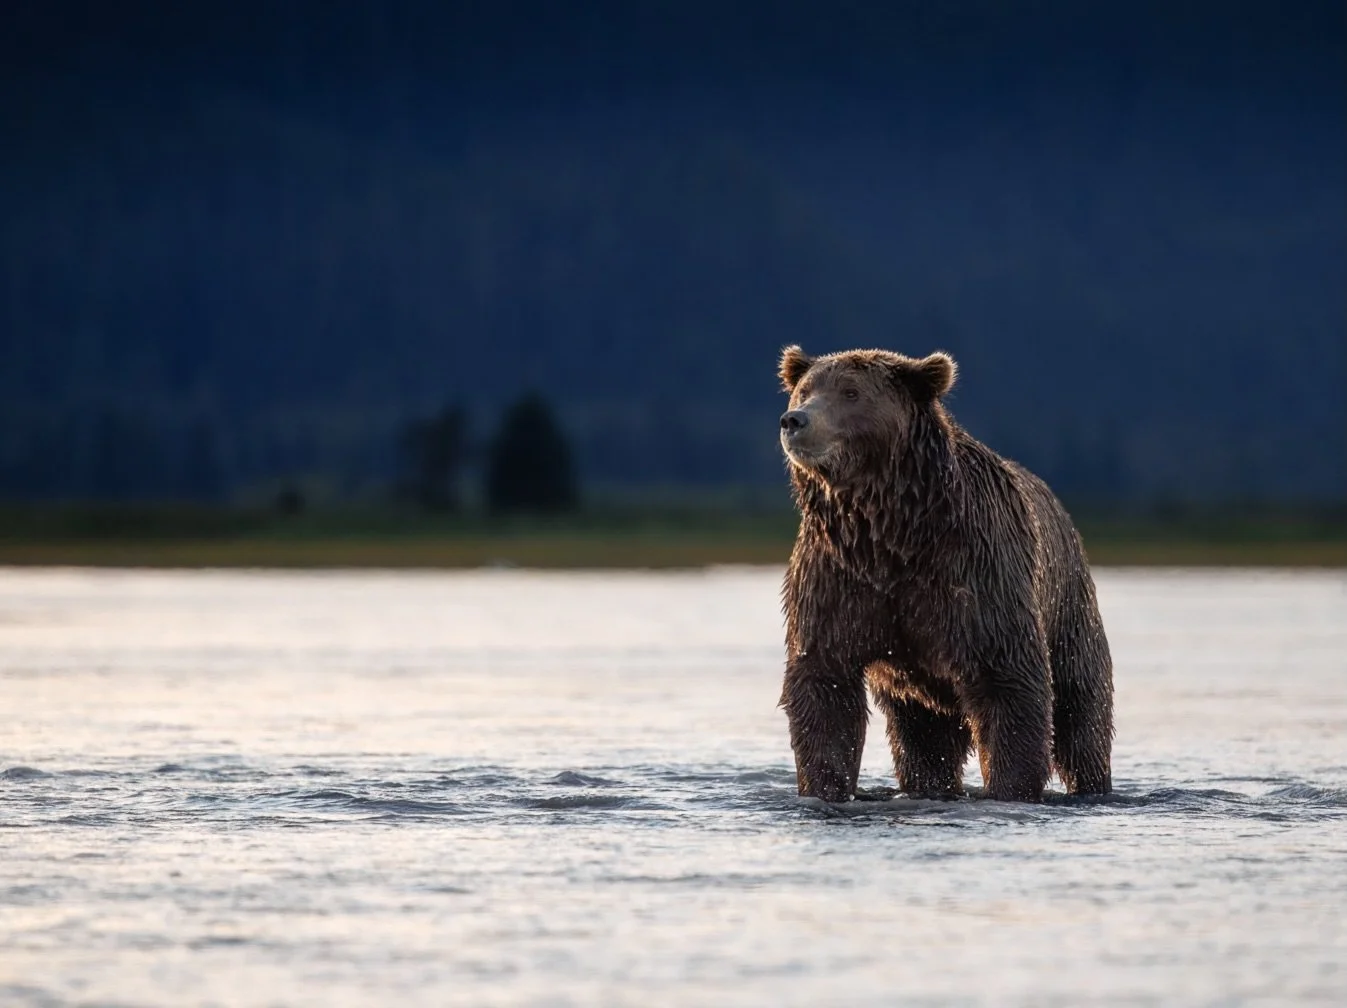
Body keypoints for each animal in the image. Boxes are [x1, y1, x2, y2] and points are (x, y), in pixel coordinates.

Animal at [777, 345, 1113, 803]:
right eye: (805, 390)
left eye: (850, 392)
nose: (795, 421)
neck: (890, 530)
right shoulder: (837, 576)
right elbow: (824, 686)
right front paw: (825, 787)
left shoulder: (976, 569)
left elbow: (1009, 684)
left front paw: (1012, 787)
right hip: (919, 690)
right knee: (922, 738)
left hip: (1069, 610)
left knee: (1081, 712)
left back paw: (1093, 784)